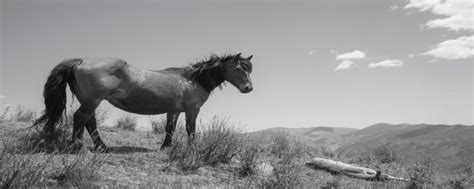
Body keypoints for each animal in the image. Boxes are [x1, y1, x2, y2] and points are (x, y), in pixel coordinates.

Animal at [33, 53, 254, 152]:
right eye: (238, 68)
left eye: (249, 69)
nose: (248, 88)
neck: (192, 79)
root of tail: (80, 61)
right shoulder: (192, 109)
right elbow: (191, 130)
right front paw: (193, 149)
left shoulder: (174, 110)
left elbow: (170, 128)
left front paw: (165, 147)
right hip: (92, 100)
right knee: (81, 118)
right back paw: (78, 146)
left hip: (89, 101)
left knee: (89, 121)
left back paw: (102, 147)